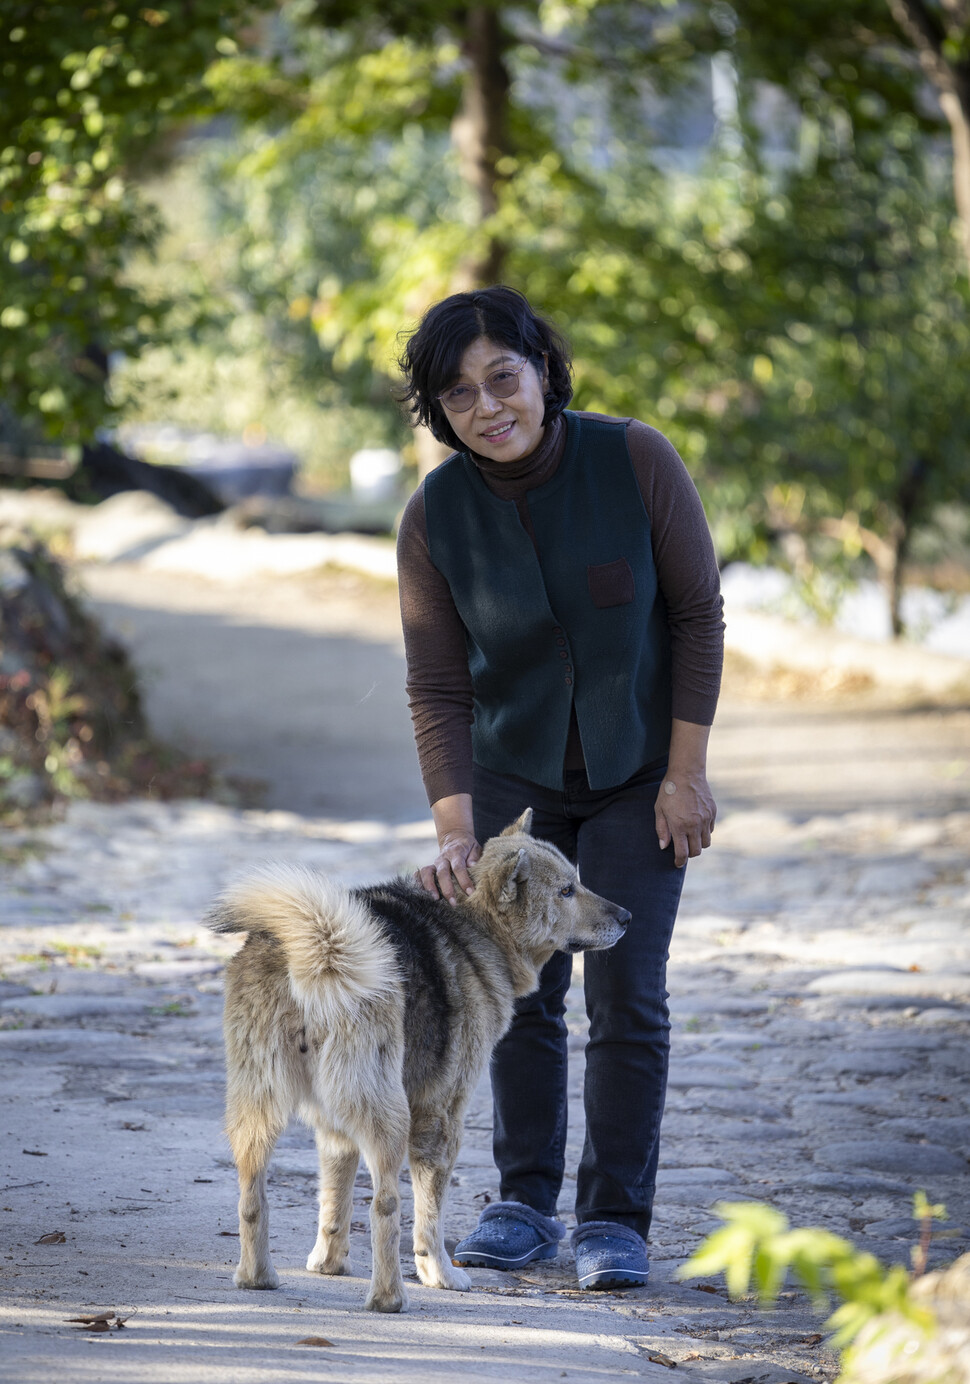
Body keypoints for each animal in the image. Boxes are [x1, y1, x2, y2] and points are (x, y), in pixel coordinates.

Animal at [204, 813, 628, 1312]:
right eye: (566, 890)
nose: (628, 917)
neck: (474, 927)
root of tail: (317, 951)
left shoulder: (334, 1125)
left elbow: (334, 1200)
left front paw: (328, 1263)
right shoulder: (441, 1116)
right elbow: (429, 1215)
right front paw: (440, 1273)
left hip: (260, 1104)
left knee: (252, 1198)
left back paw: (257, 1277)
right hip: (390, 1115)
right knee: (385, 1206)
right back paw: (389, 1296)